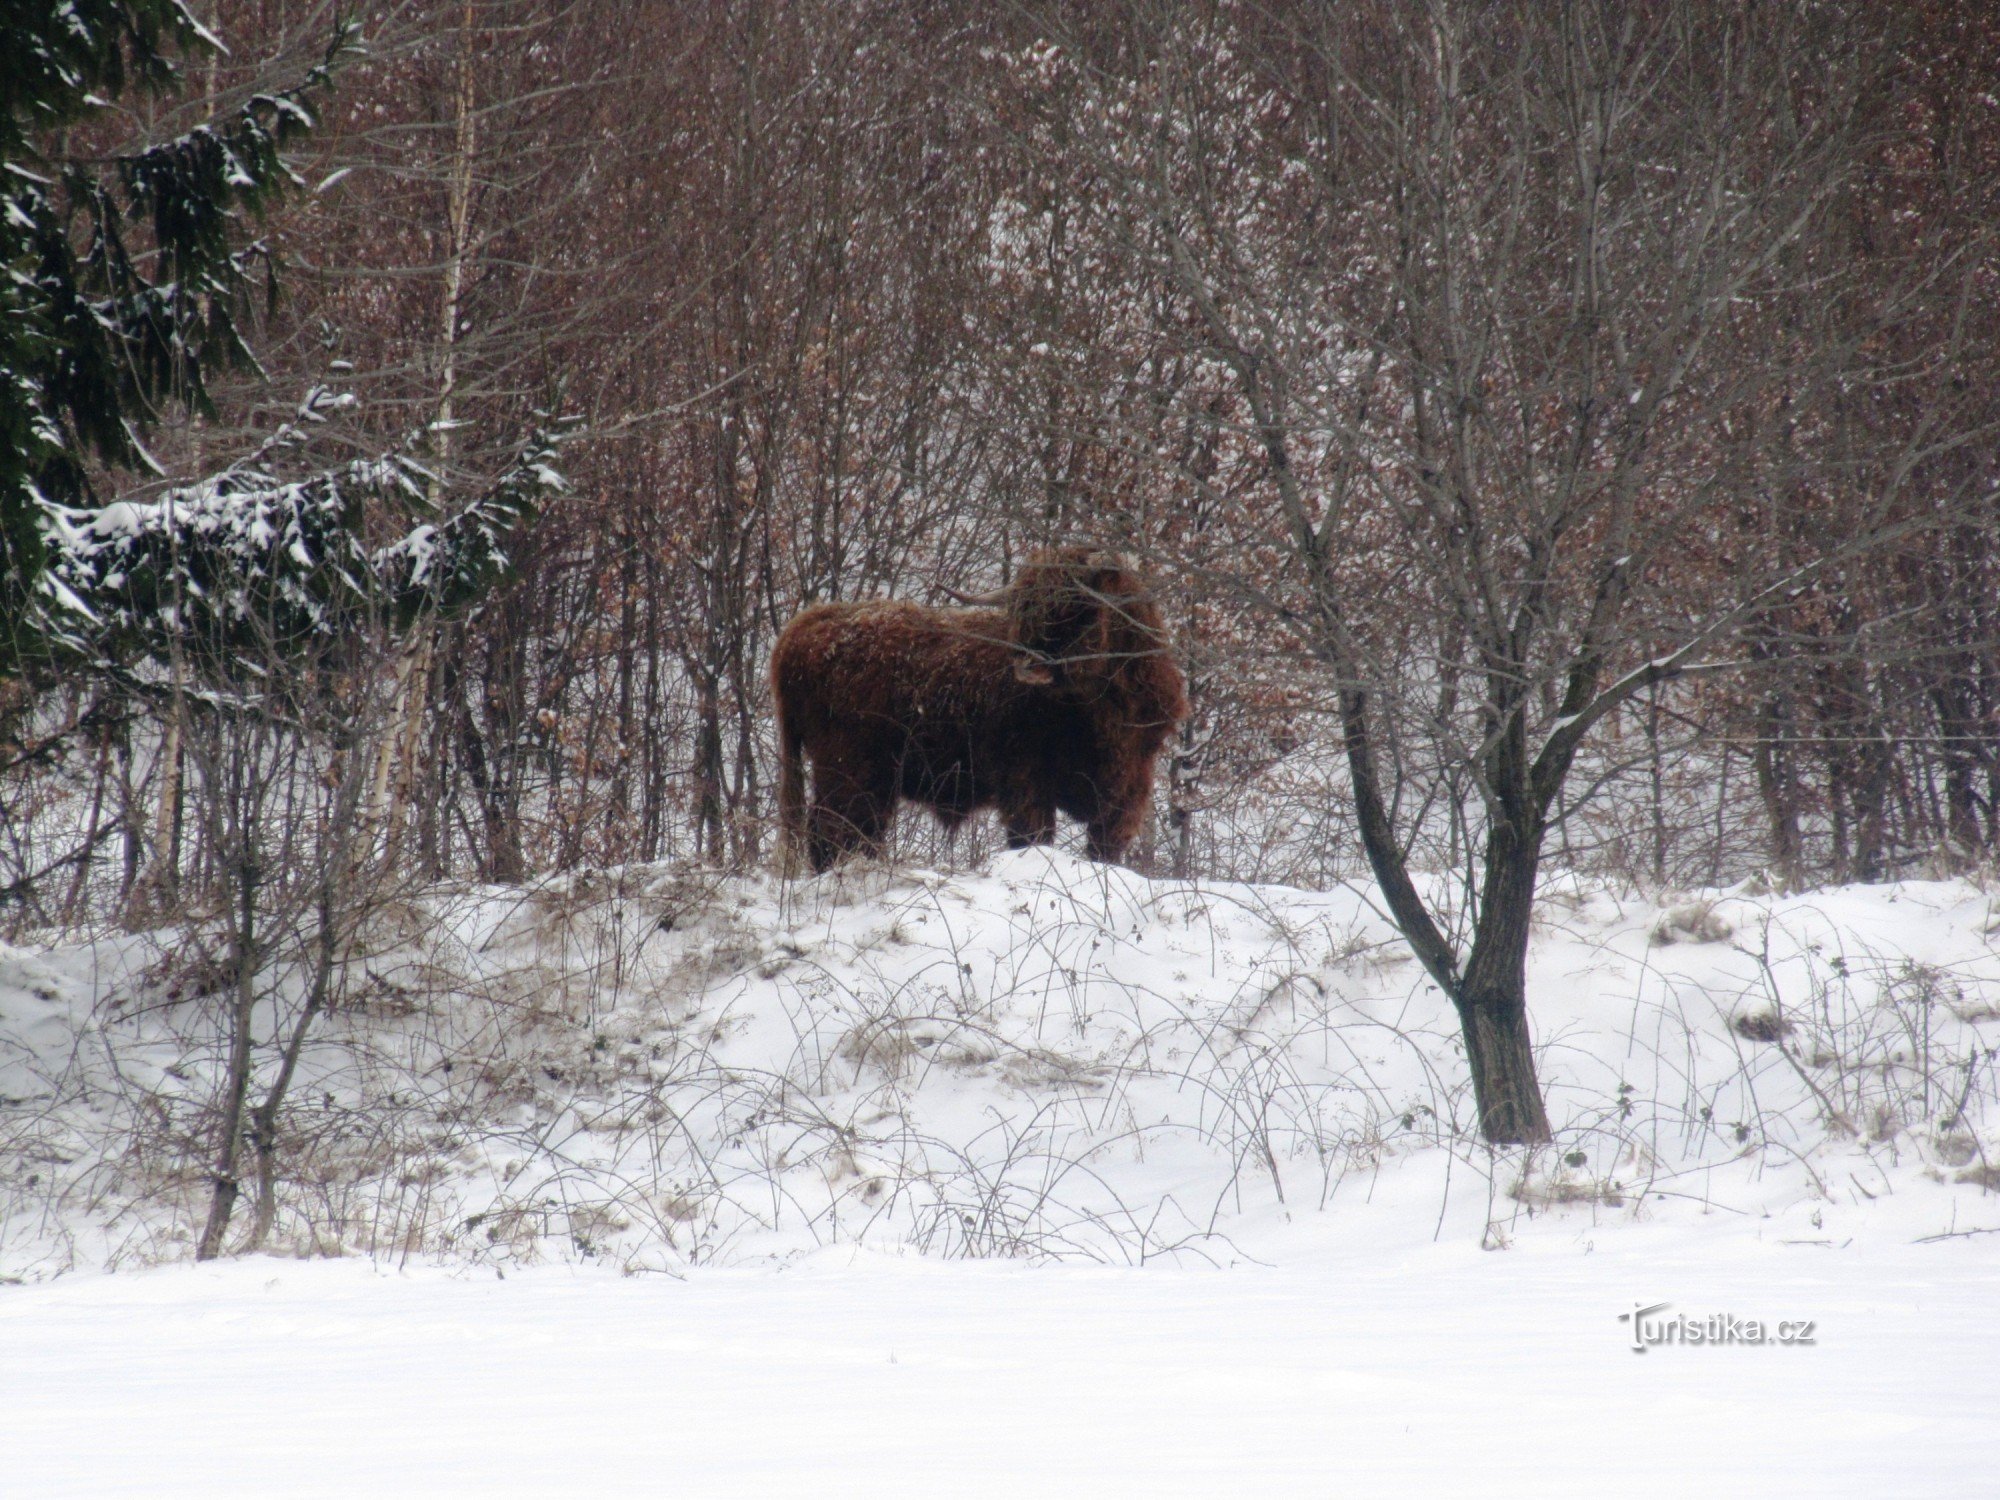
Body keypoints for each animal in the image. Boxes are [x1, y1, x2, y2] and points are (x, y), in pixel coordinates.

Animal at [768, 548, 1184, 880]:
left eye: (1076, 606)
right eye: (1022, 609)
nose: (1028, 664)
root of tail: (808, 623)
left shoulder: (1129, 789)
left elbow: (1105, 849)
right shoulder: (1026, 783)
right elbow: (1032, 837)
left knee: (856, 831)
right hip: (850, 770)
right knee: (833, 829)